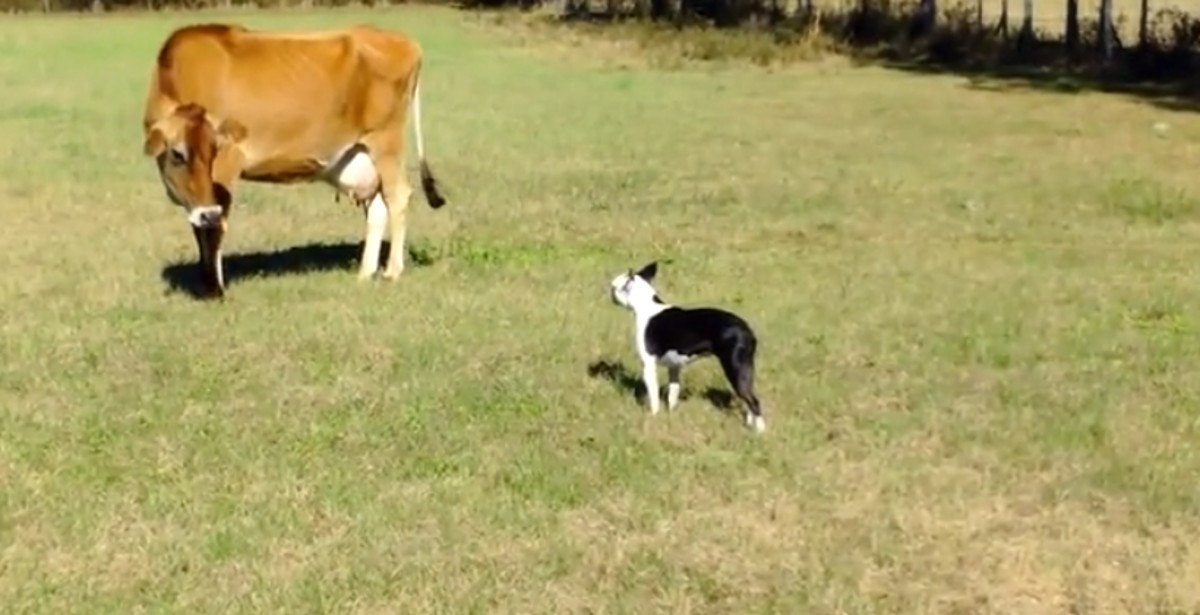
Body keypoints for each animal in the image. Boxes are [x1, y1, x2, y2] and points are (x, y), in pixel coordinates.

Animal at [140, 23, 448, 300]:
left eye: (215, 150)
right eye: (177, 154)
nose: (208, 212)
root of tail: (404, 41)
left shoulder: (226, 169)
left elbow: (214, 228)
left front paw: (215, 289)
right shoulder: (196, 199)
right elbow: (199, 227)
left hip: (386, 142)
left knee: (398, 195)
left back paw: (392, 271)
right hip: (362, 156)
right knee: (377, 207)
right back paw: (365, 272)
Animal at [609, 260, 768, 432]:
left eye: (614, 287)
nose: (609, 291)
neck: (646, 305)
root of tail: (747, 330)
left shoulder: (648, 364)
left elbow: (653, 395)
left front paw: (654, 416)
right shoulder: (674, 367)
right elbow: (673, 393)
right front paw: (671, 415)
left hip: (734, 367)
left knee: (753, 401)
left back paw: (760, 430)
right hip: (744, 368)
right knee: (748, 398)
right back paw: (750, 424)